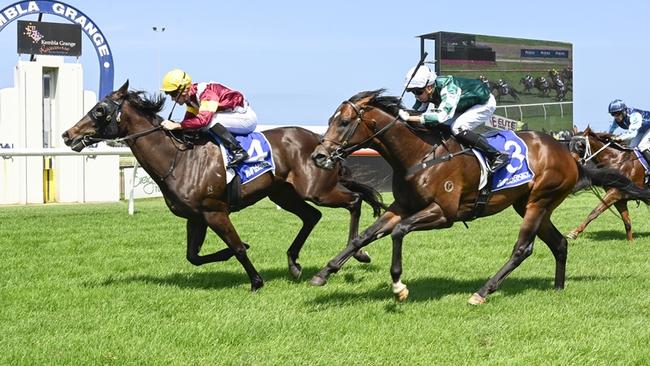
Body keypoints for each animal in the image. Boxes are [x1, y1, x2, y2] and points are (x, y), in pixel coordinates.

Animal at [59, 81, 384, 290]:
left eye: (100, 109)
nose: (67, 134)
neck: (179, 158)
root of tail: (321, 142)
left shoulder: (215, 211)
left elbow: (237, 247)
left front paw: (256, 281)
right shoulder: (195, 217)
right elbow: (193, 257)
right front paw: (231, 257)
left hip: (316, 190)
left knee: (353, 201)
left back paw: (358, 253)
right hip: (284, 193)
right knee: (312, 216)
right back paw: (294, 263)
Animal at [308, 90, 648, 304]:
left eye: (343, 122)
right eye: (330, 120)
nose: (318, 156)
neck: (418, 155)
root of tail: (569, 156)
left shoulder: (443, 213)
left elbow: (399, 232)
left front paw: (399, 286)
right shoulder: (402, 205)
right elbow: (362, 236)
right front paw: (324, 273)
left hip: (539, 201)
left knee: (522, 249)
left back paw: (483, 292)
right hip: (530, 204)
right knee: (559, 243)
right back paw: (558, 288)